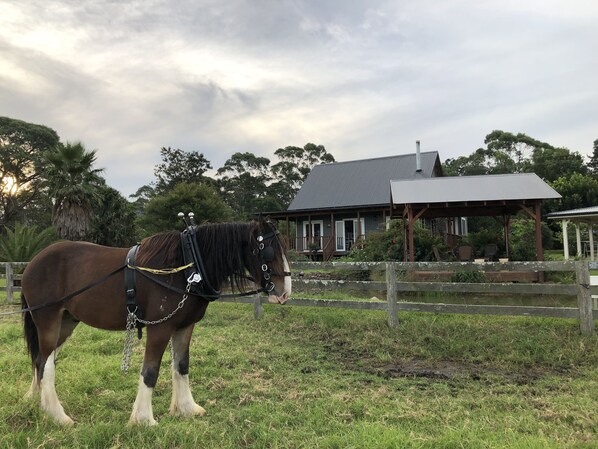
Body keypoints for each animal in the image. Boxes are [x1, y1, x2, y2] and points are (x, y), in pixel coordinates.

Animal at [22, 219, 294, 426]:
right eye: (267, 250)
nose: (285, 292)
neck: (185, 266)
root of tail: (32, 262)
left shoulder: (184, 326)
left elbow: (181, 365)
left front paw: (187, 408)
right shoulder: (159, 328)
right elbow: (150, 372)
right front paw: (143, 419)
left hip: (67, 321)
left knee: (41, 360)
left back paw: (39, 402)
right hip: (48, 321)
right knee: (45, 364)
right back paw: (58, 416)